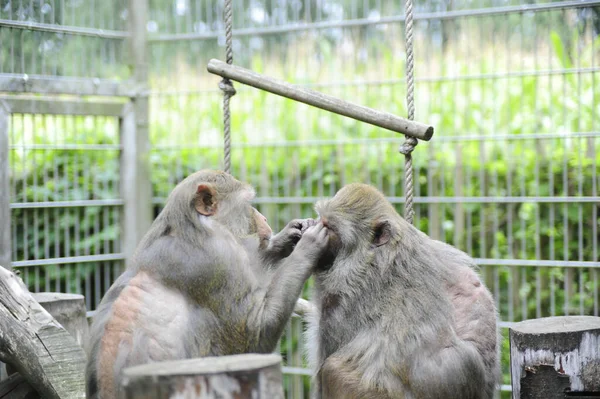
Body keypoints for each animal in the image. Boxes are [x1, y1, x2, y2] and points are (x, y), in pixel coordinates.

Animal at [85, 170, 328, 398]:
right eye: (247, 204)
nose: (265, 219)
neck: (194, 228)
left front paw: (289, 236)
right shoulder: (217, 259)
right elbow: (254, 334)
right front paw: (307, 246)